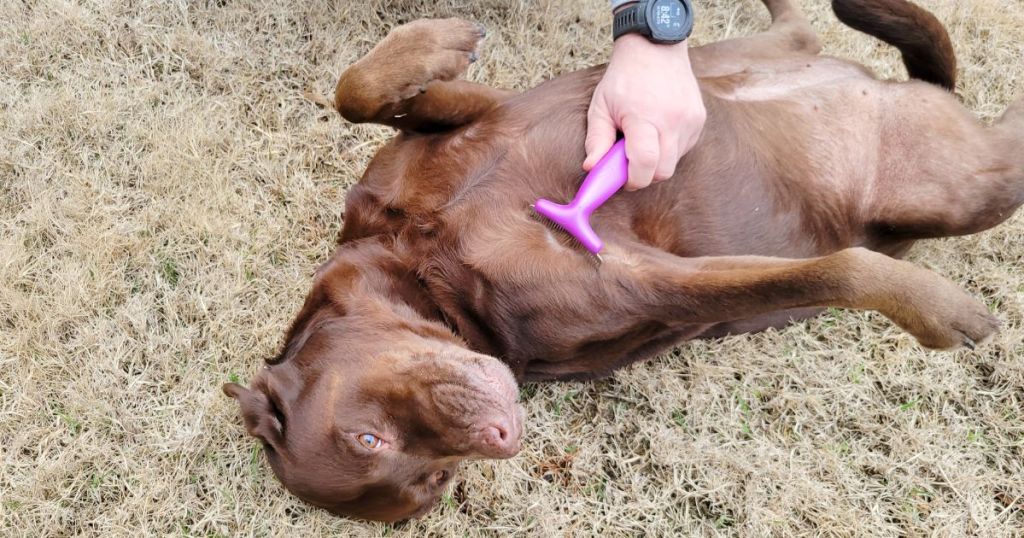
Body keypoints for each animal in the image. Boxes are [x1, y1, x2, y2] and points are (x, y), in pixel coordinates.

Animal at [226, 0, 1024, 520]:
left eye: (368, 435)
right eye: (436, 482)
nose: (505, 437)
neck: (432, 265)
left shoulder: (489, 111)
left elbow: (355, 92)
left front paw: (436, 42)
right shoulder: (638, 279)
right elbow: (834, 269)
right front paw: (939, 312)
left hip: (775, 78)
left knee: (790, 27)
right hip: (966, 186)